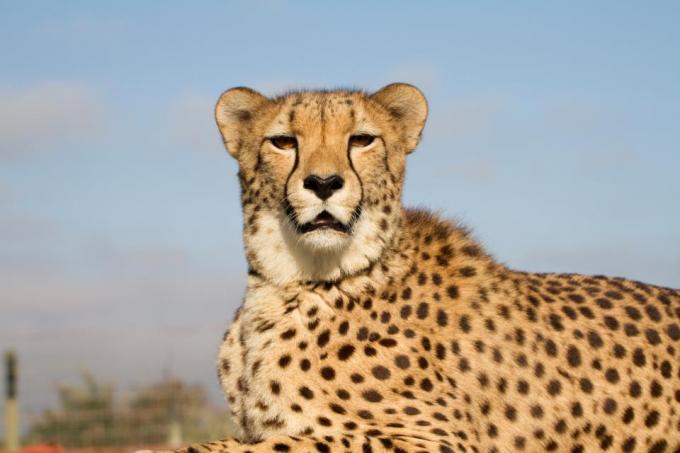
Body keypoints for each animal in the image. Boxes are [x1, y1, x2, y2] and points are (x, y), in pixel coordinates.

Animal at [154, 83, 680, 452]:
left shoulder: (435, 439)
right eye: (282, 141)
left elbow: (287, 445)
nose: (323, 183)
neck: (298, 280)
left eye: (362, 139)